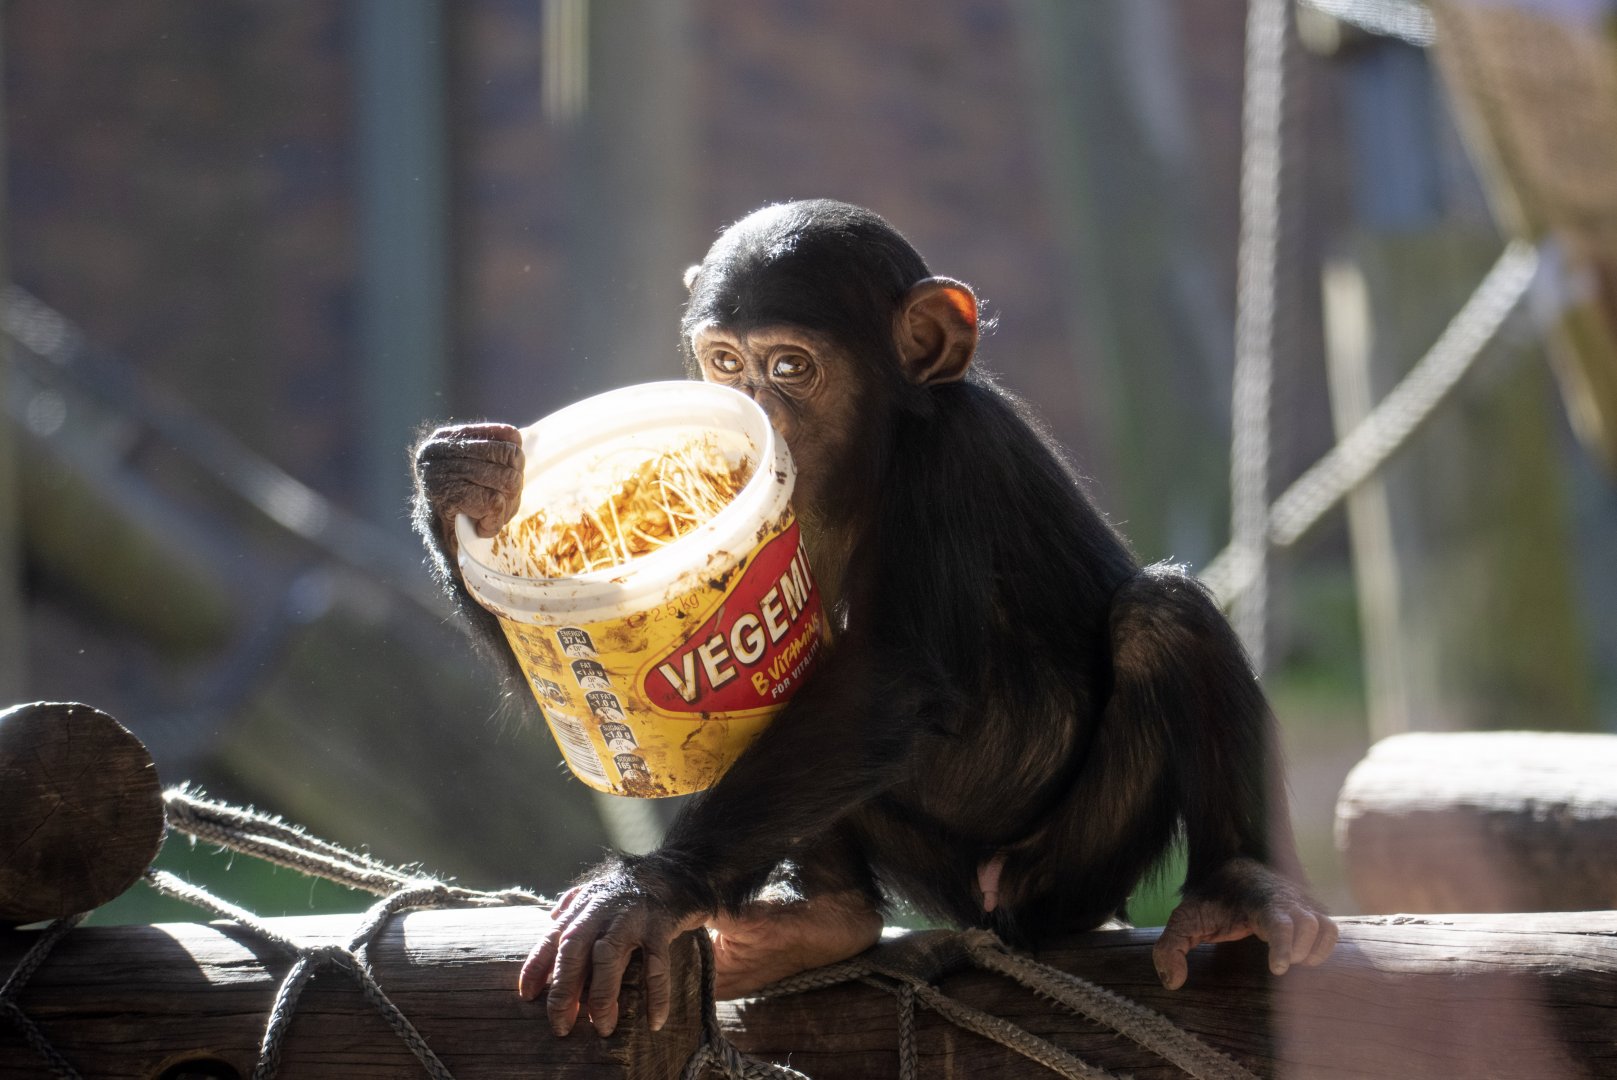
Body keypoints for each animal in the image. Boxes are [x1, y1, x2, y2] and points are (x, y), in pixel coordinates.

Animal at [412, 199, 1336, 1038]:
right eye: (725, 362)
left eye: (790, 367)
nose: (757, 410)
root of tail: (982, 907)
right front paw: (466, 488)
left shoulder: (952, 453)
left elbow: (894, 674)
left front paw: (642, 890)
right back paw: (820, 919)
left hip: (1064, 874)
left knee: (1162, 618)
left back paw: (1237, 892)